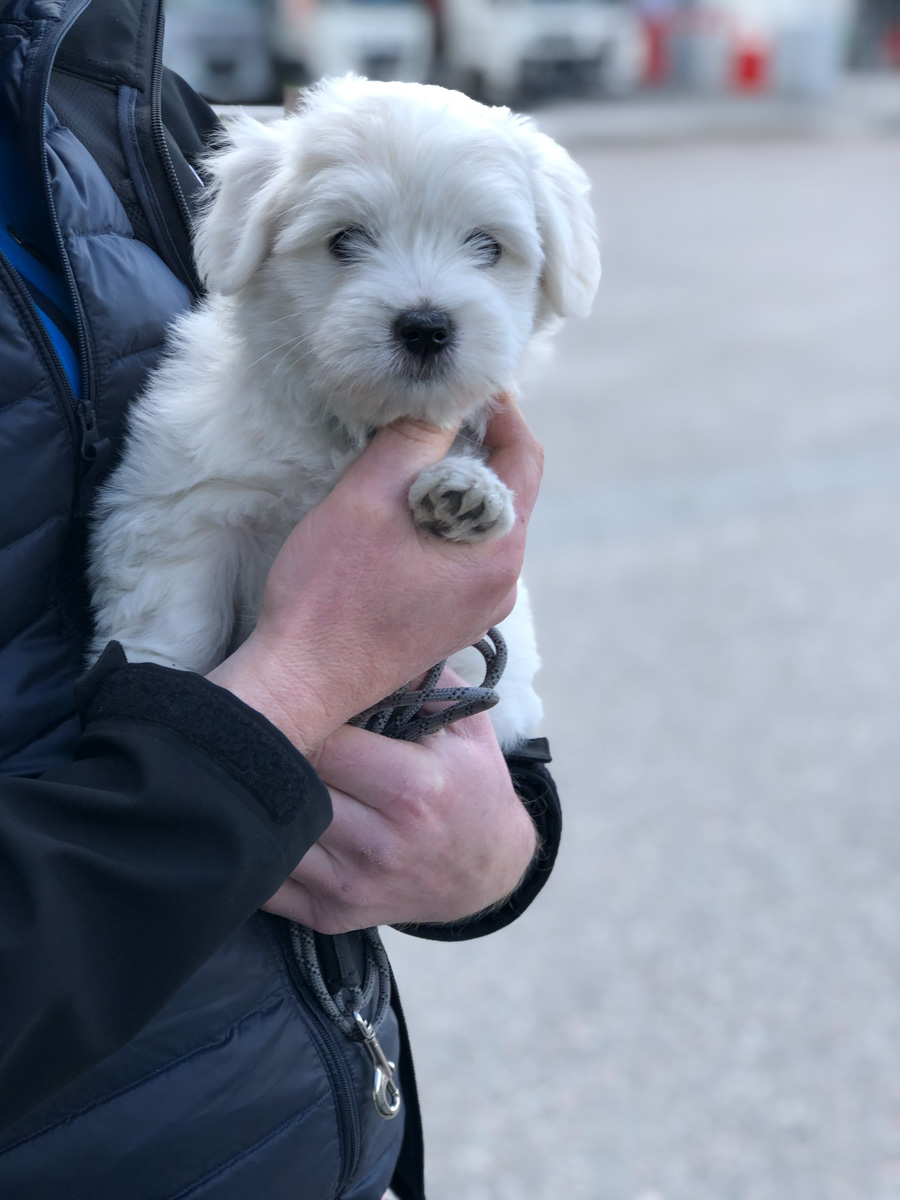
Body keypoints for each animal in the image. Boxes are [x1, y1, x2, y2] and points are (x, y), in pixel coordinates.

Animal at [88, 75, 602, 744]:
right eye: (344, 240)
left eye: (488, 245)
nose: (426, 326)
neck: (349, 424)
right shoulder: (190, 504)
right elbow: (173, 616)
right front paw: (158, 677)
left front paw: (467, 490)